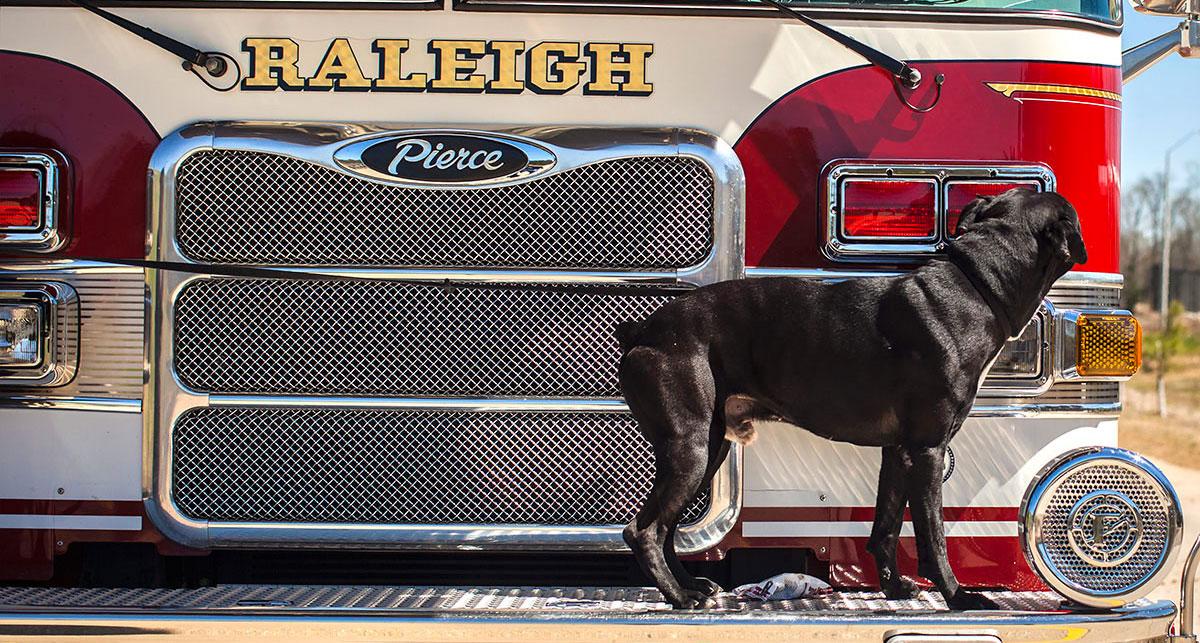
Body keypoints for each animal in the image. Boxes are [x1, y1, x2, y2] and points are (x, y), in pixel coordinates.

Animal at [619, 189, 1089, 607]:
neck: (975, 287)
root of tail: (643, 332)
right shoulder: (928, 450)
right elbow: (933, 535)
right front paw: (958, 598)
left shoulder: (900, 452)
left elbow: (885, 527)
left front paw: (894, 588)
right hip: (692, 448)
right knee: (644, 531)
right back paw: (679, 596)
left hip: (709, 449)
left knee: (665, 528)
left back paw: (691, 586)